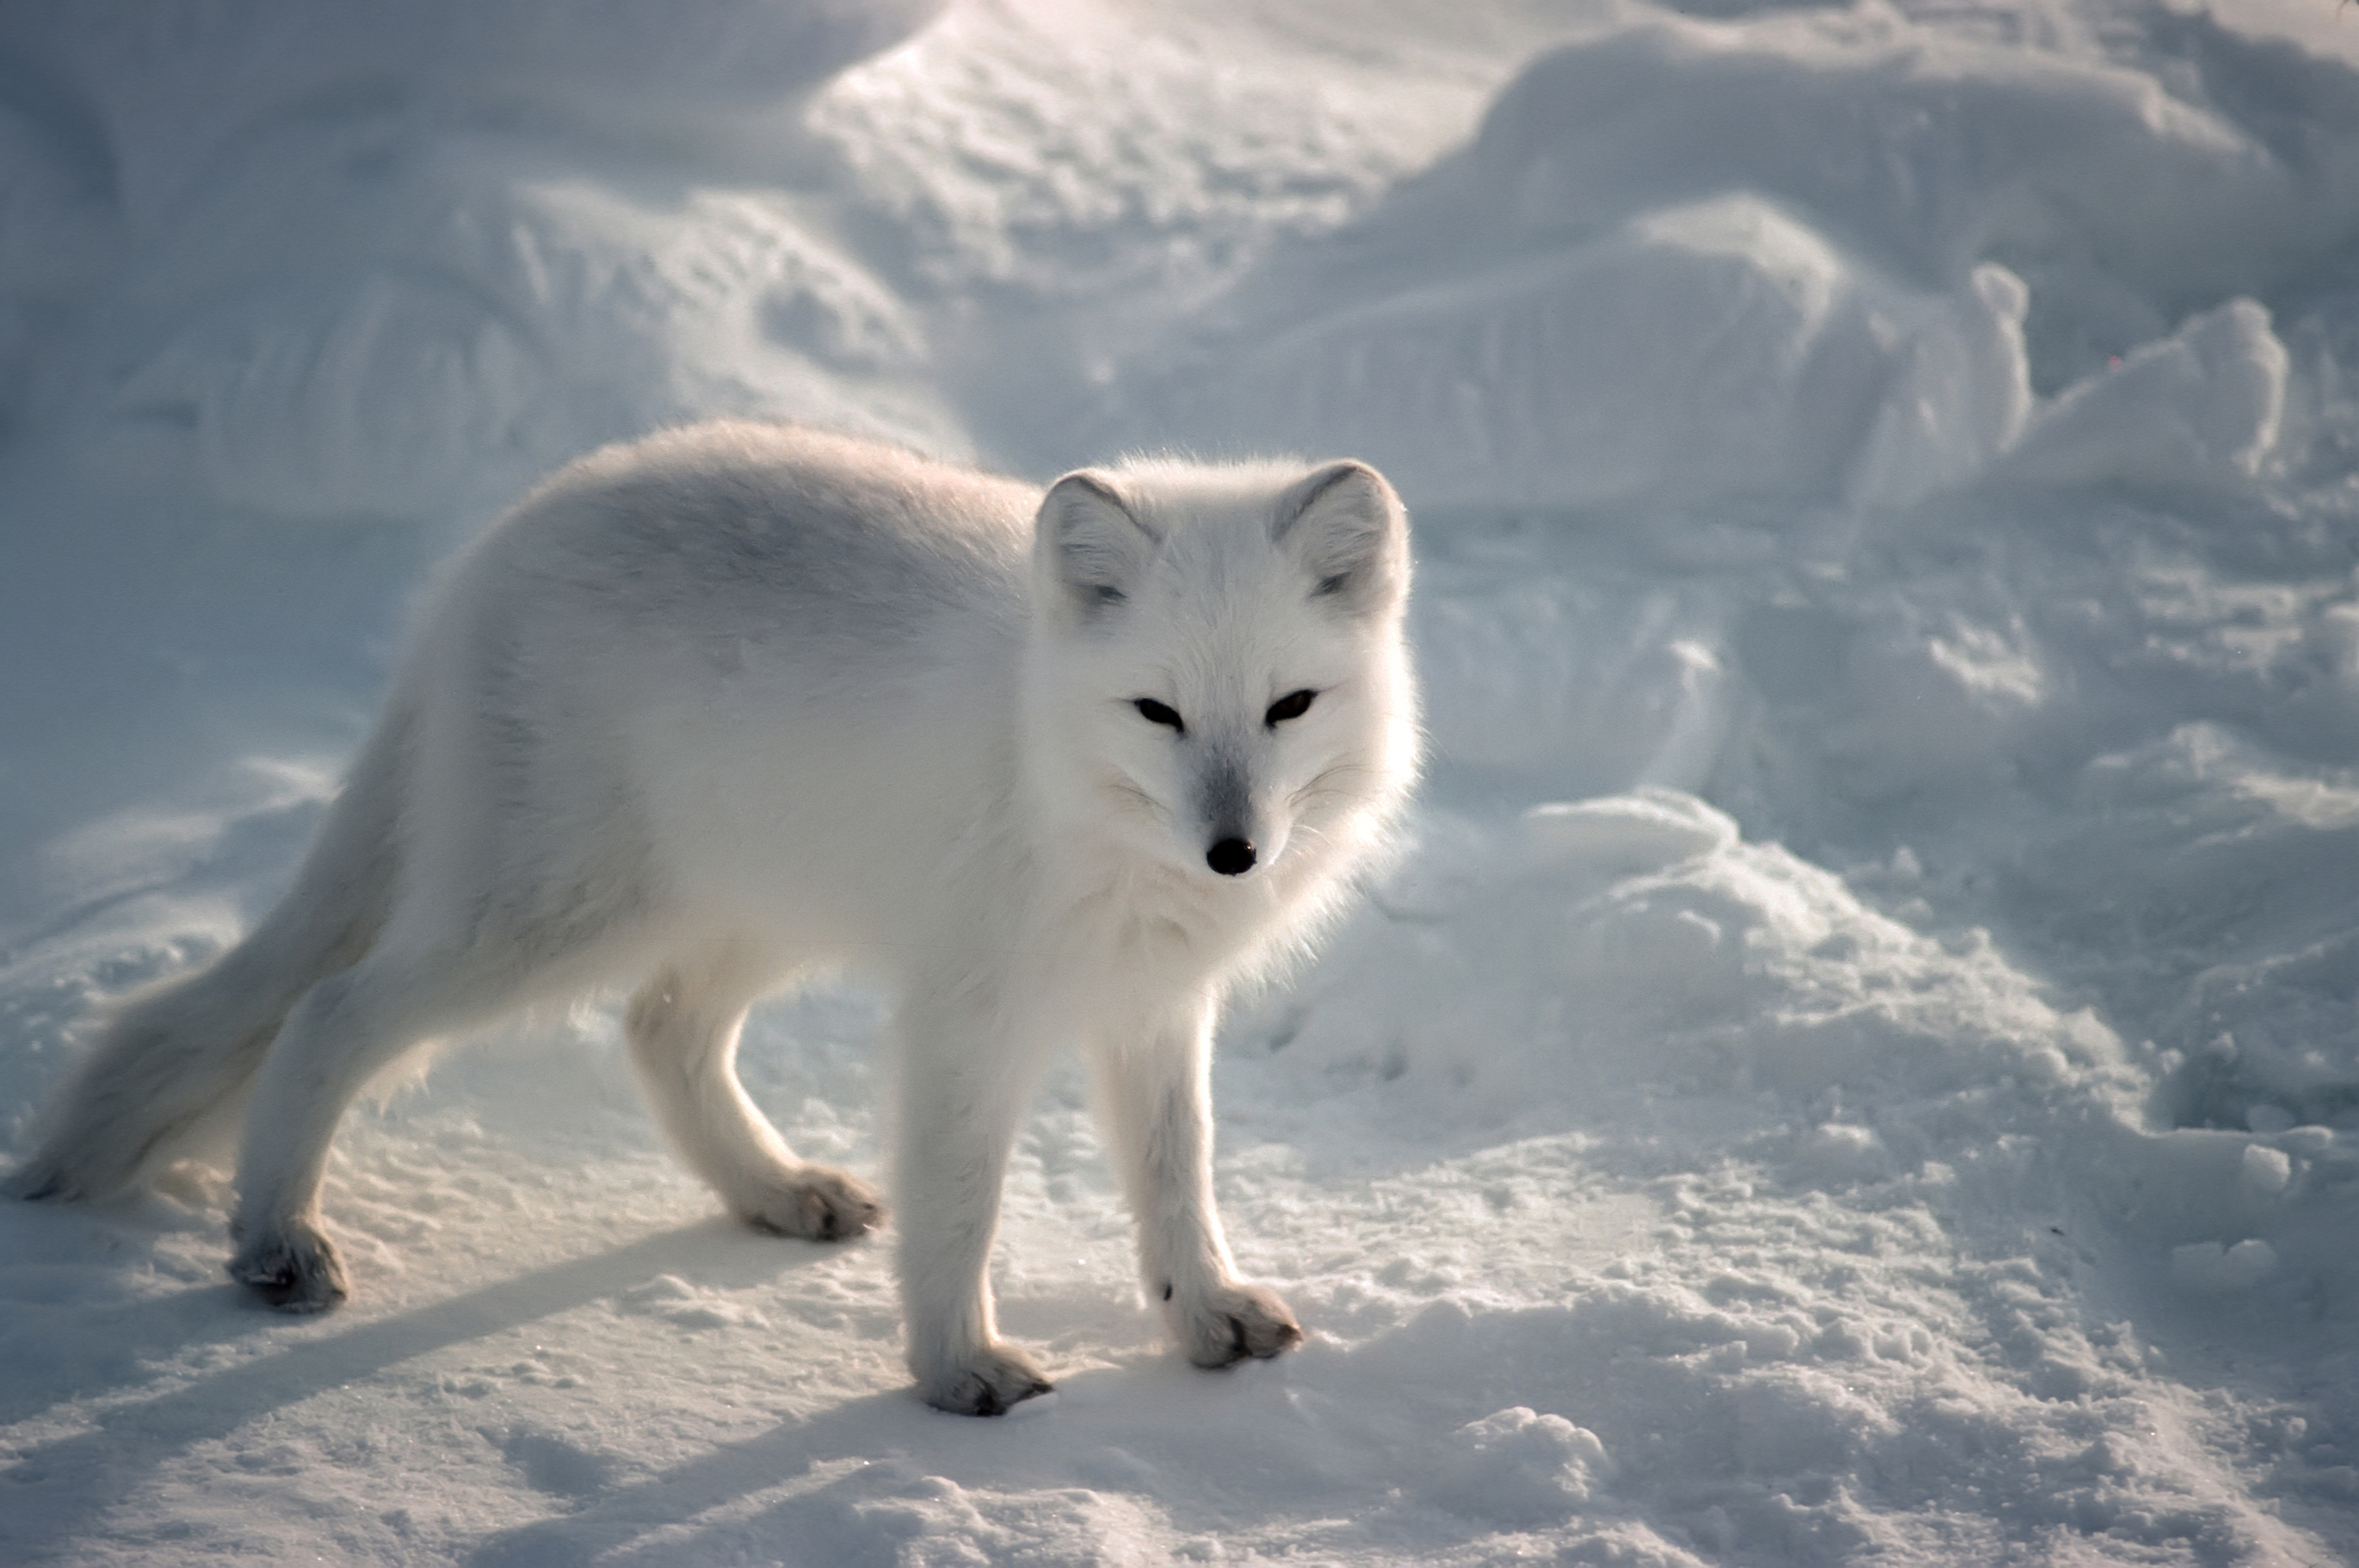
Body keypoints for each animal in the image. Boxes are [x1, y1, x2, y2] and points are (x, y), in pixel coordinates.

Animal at [7, 421, 1420, 1415]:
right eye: (1158, 712)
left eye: (1289, 706)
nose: (1234, 854)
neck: (1056, 770)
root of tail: (492, 552)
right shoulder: (968, 1013)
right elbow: (961, 1202)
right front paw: (954, 1368)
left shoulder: (1149, 1003)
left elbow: (1179, 1176)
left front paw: (1204, 1317)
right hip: (543, 917)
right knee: (327, 1008)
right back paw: (277, 1238)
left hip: (743, 909)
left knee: (660, 1030)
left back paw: (776, 1190)